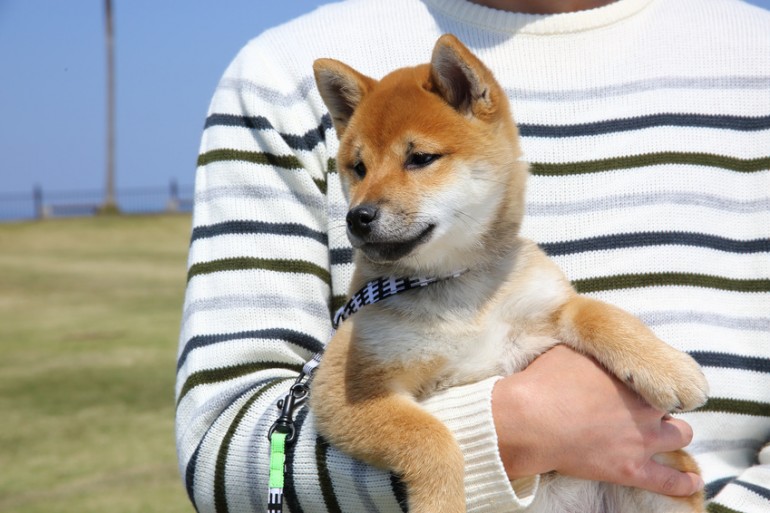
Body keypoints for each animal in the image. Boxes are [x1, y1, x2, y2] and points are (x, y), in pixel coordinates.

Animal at [308, 34, 704, 510]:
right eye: (359, 168)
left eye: (420, 158)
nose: (358, 217)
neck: (458, 286)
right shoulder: (345, 389)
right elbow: (430, 437)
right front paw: (441, 500)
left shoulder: (546, 307)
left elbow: (597, 313)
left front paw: (668, 368)